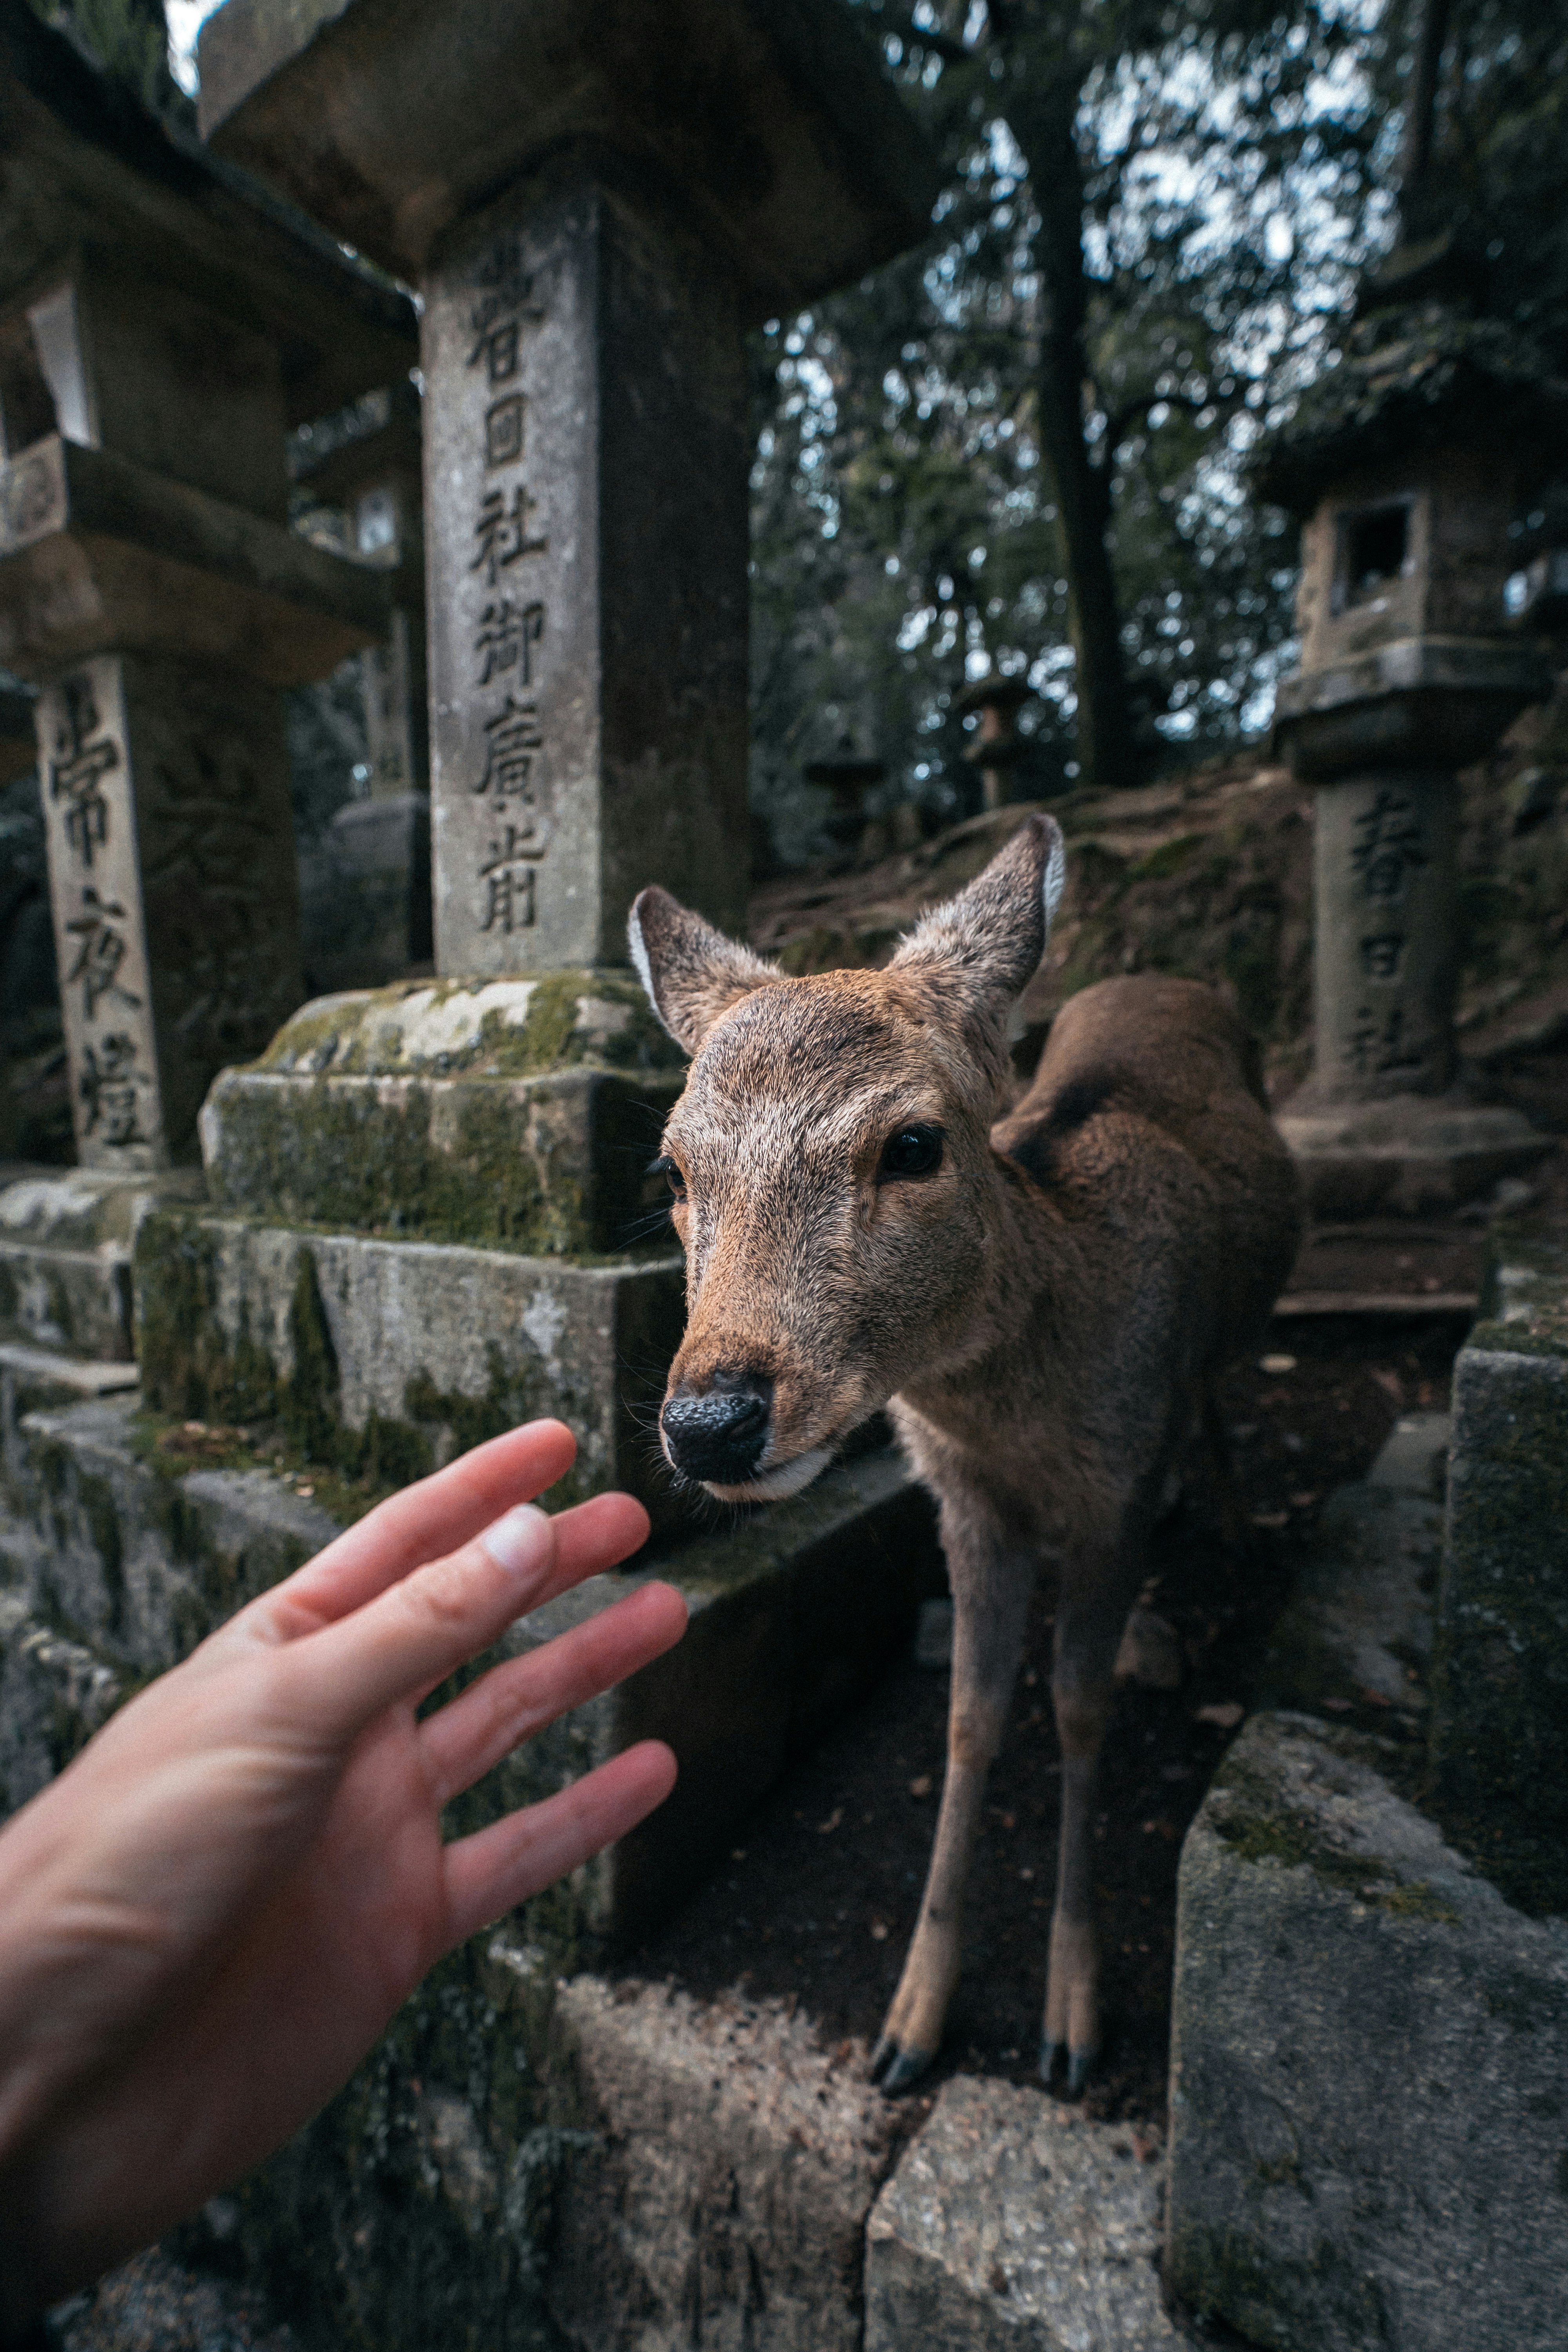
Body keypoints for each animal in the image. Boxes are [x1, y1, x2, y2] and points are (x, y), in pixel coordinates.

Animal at [628, 812, 1302, 2096]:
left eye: (913, 1142)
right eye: (673, 1169)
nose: (709, 1421)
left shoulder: (1109, 1498)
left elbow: (1080, 1705)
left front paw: (1072, 2020)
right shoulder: (963, 1503)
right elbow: (967, 1716)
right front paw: (910, 2022)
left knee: (1211, 1388)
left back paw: (1240, 1520)